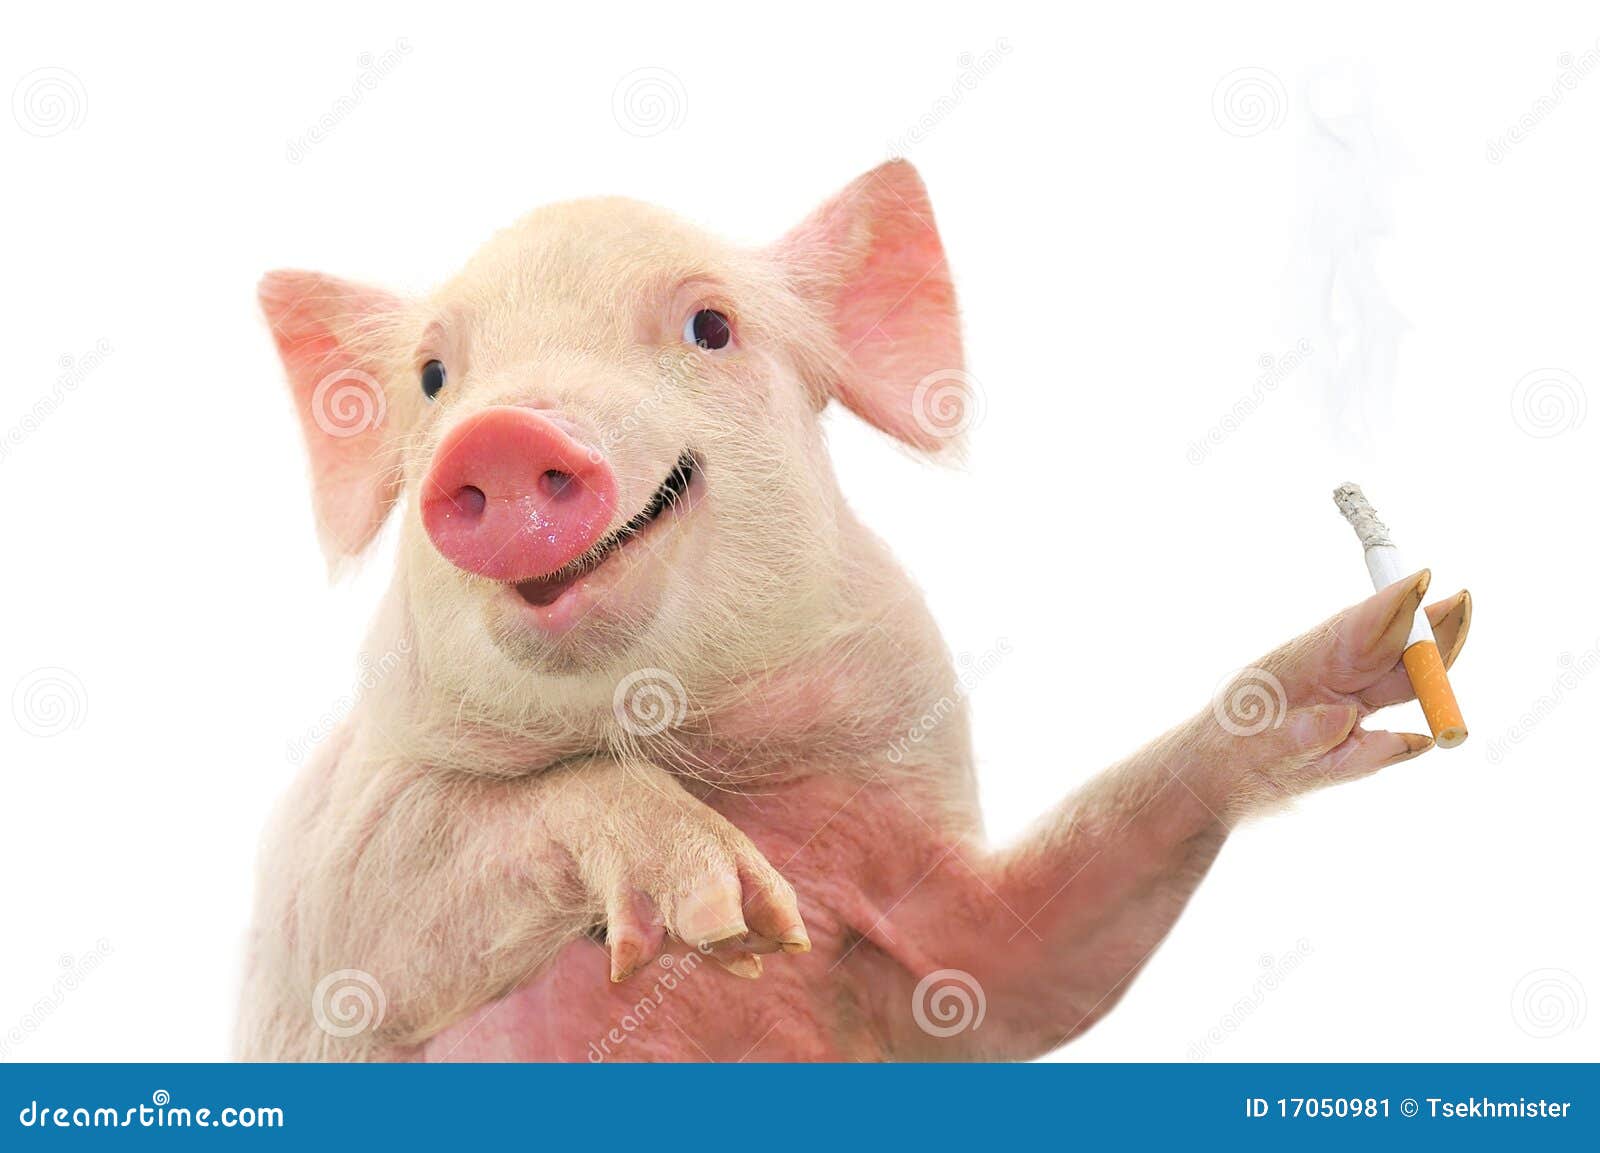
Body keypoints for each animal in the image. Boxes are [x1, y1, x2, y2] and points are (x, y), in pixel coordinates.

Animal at [239, 160, 1472, 1060]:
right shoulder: (321, 873)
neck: (678, 737)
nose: (501, 434)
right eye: (434, 378)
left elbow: (1032, 959)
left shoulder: (932, 877)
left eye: (709, 327)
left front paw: (1391, 642)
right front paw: (728, 912)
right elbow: (378, 904)